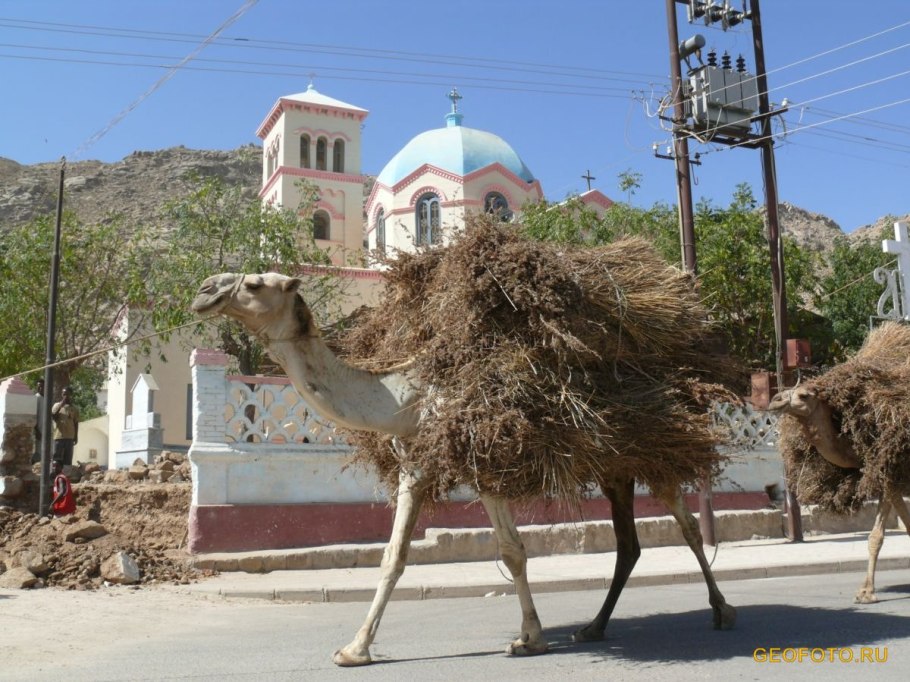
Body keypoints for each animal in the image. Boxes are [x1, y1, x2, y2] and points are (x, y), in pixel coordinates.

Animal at [192, 271, 736, 667]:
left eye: (255, 283)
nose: (203, 292)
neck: (404, 398)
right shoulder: (418, 466)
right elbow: (397, 556)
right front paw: (356, 649)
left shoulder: (476, 465)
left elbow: (509, 552)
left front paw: (529, 639)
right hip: (615, 471)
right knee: (629, 544)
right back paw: (594, 627)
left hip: (656, 457)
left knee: (687, 525)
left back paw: (724, 611)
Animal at [769, 383, 910, 604]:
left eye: (804, 395)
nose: (774, 400)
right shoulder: (887, 483)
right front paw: (864, 592)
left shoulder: (889, 478)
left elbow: (877, 535)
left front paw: (867, 594)